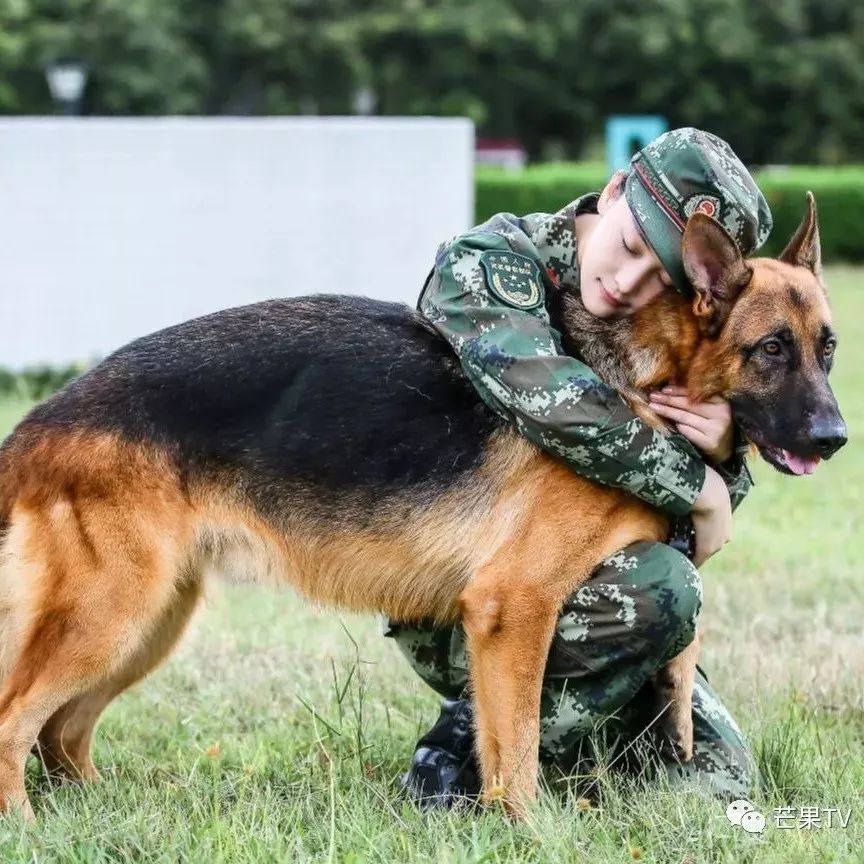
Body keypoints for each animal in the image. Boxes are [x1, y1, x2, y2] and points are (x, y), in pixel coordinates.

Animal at [0, 196, 844, 816]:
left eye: (828, 346)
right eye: (771, 348)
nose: (836, 438)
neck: (651, 373)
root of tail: (38, 421)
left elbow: (531, 732)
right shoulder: (515, 605)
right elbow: (520, 748)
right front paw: (529, 832)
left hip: (149, 622)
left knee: (63, 732)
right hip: (111, 616)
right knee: (18, 722)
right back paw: (31, 828)